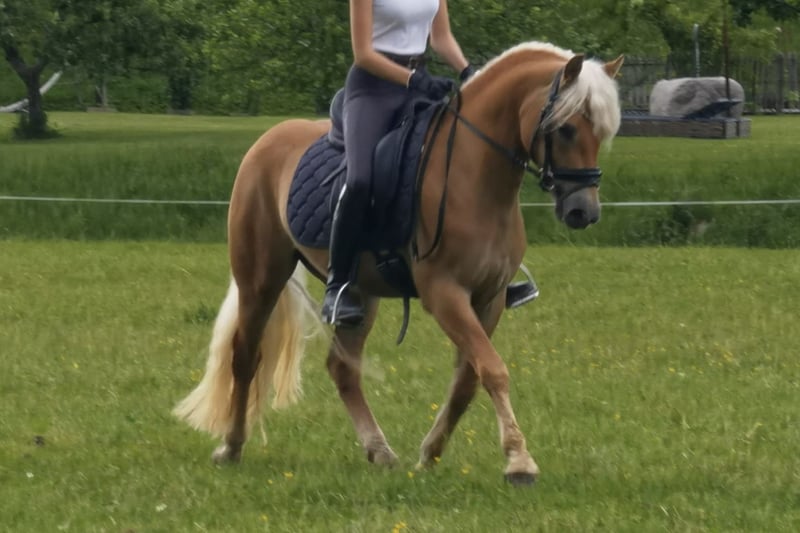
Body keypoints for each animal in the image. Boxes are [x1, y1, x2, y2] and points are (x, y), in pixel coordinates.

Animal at [174, 41, 623, 485]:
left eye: (602, 132)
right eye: (566, 128)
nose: (584, 212)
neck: (474, 173)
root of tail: (268, 139)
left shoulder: (490, 297)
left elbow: (469, 378)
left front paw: (430, 453)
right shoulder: (444, 294)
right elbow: (493, 369)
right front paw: (518, 459)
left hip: (359, 294)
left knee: (342, 367)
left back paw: (379, 450)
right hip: (260, 278)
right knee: (245, 355)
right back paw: (232, 446)